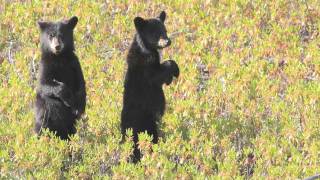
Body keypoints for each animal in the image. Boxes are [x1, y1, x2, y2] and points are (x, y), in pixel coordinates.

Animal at [120, 11, 180, 162]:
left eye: (164, 30)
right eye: (155, 33)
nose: (168, 41)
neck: (146, 50)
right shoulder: (146, 68)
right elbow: (158, 75)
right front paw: (175, 71)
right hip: (146, 124)